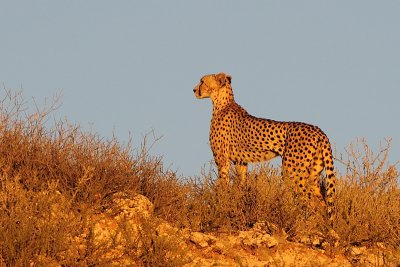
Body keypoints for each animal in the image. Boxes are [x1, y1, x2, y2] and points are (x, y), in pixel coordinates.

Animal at [192, 72, 336, 219]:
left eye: (202, 81)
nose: (194, 90)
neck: (222, 103)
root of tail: (319, 131)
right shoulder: (241, 161)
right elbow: (241, 182)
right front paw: (240, 201)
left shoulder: (221, 159)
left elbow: (223, 183)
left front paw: (223, 205)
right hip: (313, 175)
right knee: (322, 204)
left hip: (291, 173)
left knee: (311, 202)